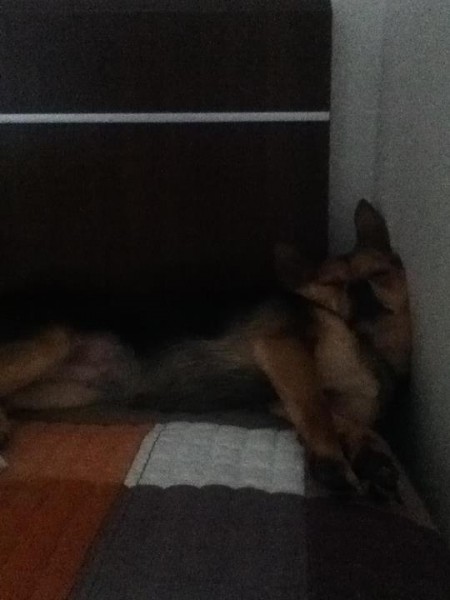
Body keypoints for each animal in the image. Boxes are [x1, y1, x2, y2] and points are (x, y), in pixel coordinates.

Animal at [0, 200, 411, 498]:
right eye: (333, 283)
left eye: (379, 274)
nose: (360, 290)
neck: (365, 341)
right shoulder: (282, 349)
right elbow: (315, 407)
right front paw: (332, 462)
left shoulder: (279, 397)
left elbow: (345, 420)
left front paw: (369, 456)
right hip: (51, 341)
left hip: (67, 389)